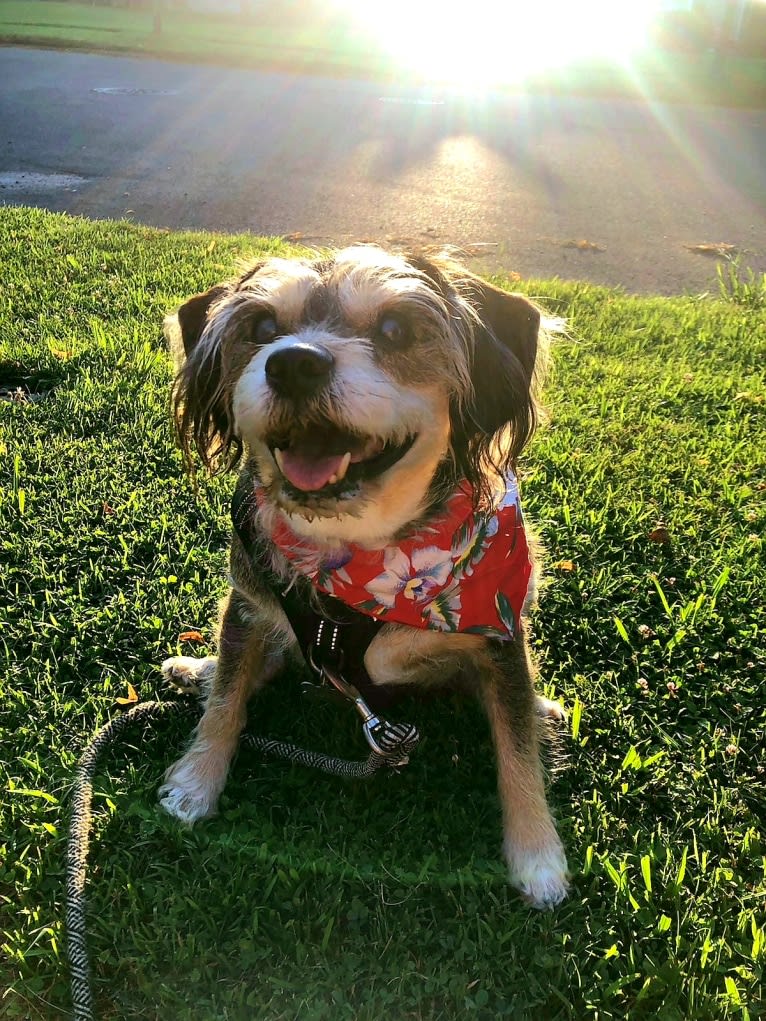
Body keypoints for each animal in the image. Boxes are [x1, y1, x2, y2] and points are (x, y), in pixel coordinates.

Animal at [160, 247, 571, 910]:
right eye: (263, 327)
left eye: (396, 329)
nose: (294, 364)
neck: (360, 555)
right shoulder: (248, 606)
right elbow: (226, 700)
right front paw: (196, 781)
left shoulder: (499, 638)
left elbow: (517, 749)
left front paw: (538, 856)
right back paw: (195, 668)